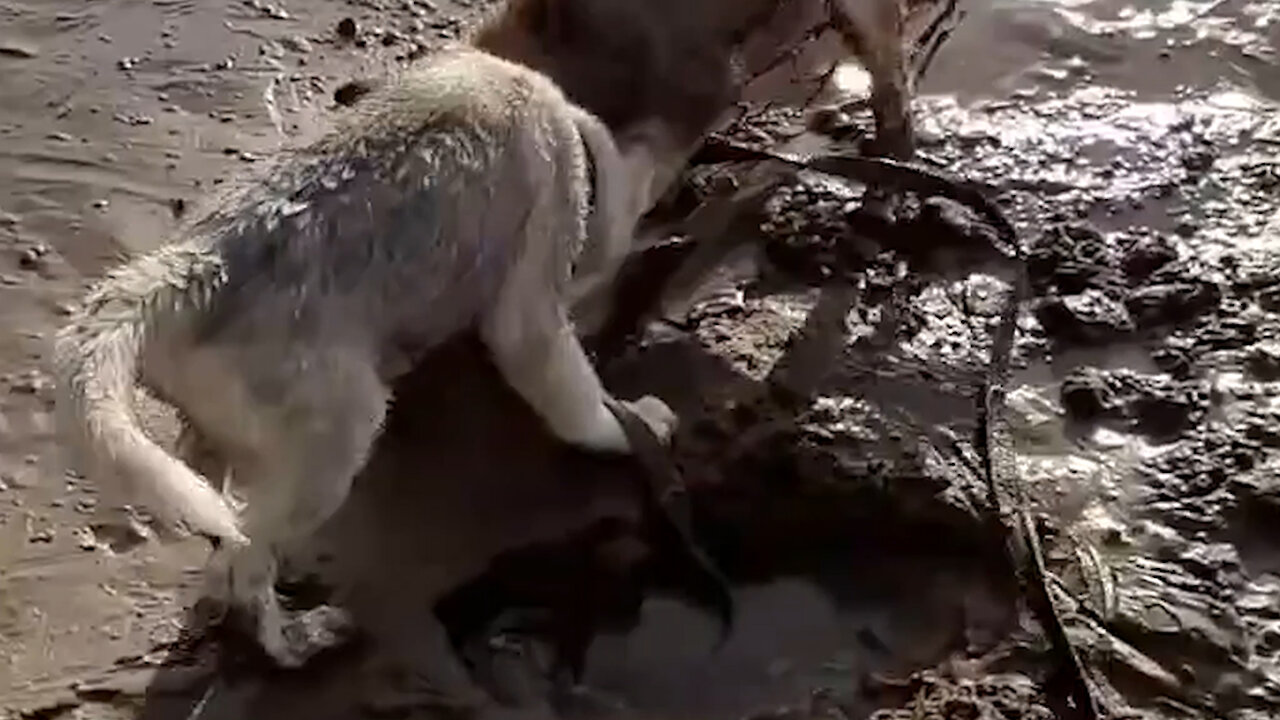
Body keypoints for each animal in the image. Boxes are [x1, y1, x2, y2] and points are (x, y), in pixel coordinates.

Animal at [53, 44, 680, 666]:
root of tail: (188, 270)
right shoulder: (533, 283)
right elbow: (565, 386)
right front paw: (636, 422)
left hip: (221, 425)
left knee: (218, 523)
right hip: (334, 428)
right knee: (245, 562)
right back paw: (296, 640)